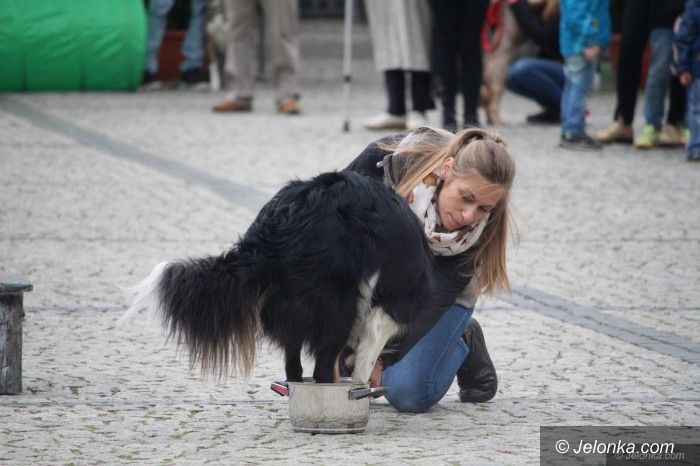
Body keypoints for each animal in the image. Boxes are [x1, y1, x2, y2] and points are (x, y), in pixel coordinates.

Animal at [123, 171, 435, 384]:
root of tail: (278, 223)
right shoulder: (395, 304)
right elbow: (367, 350)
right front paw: (361, 382)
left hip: (293, 302)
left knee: (293, 362)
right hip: (336, 304)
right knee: (321, 367)